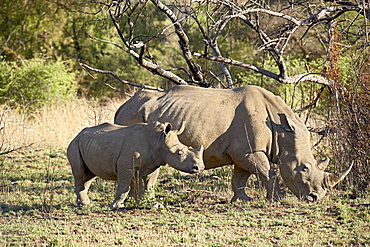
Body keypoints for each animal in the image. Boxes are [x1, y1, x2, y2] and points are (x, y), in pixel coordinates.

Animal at [67, 121, 204, 208]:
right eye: (179, 153)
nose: (199, 167)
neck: (158, 141)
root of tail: (77, 135)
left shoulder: (153, 166)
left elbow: (149, 185)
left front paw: (154, 205)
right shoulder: (126, 167)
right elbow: (124, 186)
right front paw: (117, 206)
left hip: (90, 144)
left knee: (90, 174)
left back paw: (83, 202)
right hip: (74, 144)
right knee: (79, 171)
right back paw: (84, 204)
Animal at [115, 85, 352, 203]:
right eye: (304, 168)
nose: (316, 198)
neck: (282, 131)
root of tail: (122, 106)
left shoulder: (245, 151)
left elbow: (241, 176)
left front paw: (242, 200)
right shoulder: (250, 150)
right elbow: (267, 172)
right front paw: (277, 199)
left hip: (140, 113)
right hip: (133, 115)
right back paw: (144, 201)